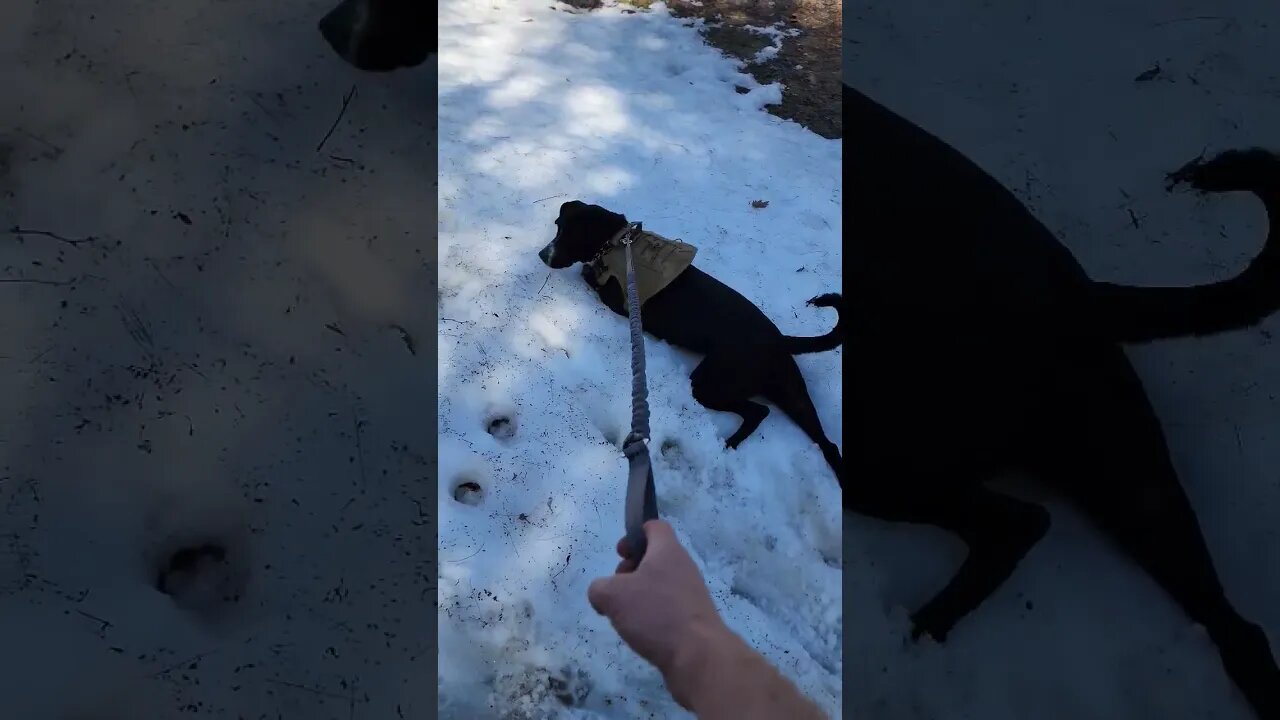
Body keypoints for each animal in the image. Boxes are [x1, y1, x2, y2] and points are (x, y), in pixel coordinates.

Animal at [537, 198, 844, 484]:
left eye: (569, 234)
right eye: (557, 225)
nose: (542, 254)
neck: (617, 241)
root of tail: (780, 341)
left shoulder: (618, 303)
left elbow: (588, 275)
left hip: (710, 382)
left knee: (759, 411)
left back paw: (729, 443)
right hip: (793, 395)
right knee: (827, 443)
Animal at [849, 82, 1280, 712]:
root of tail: (1085, 298)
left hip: (878, 446)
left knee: (1015, 523)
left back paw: (913, 637)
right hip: (1131, 478)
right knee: (1236, 629)